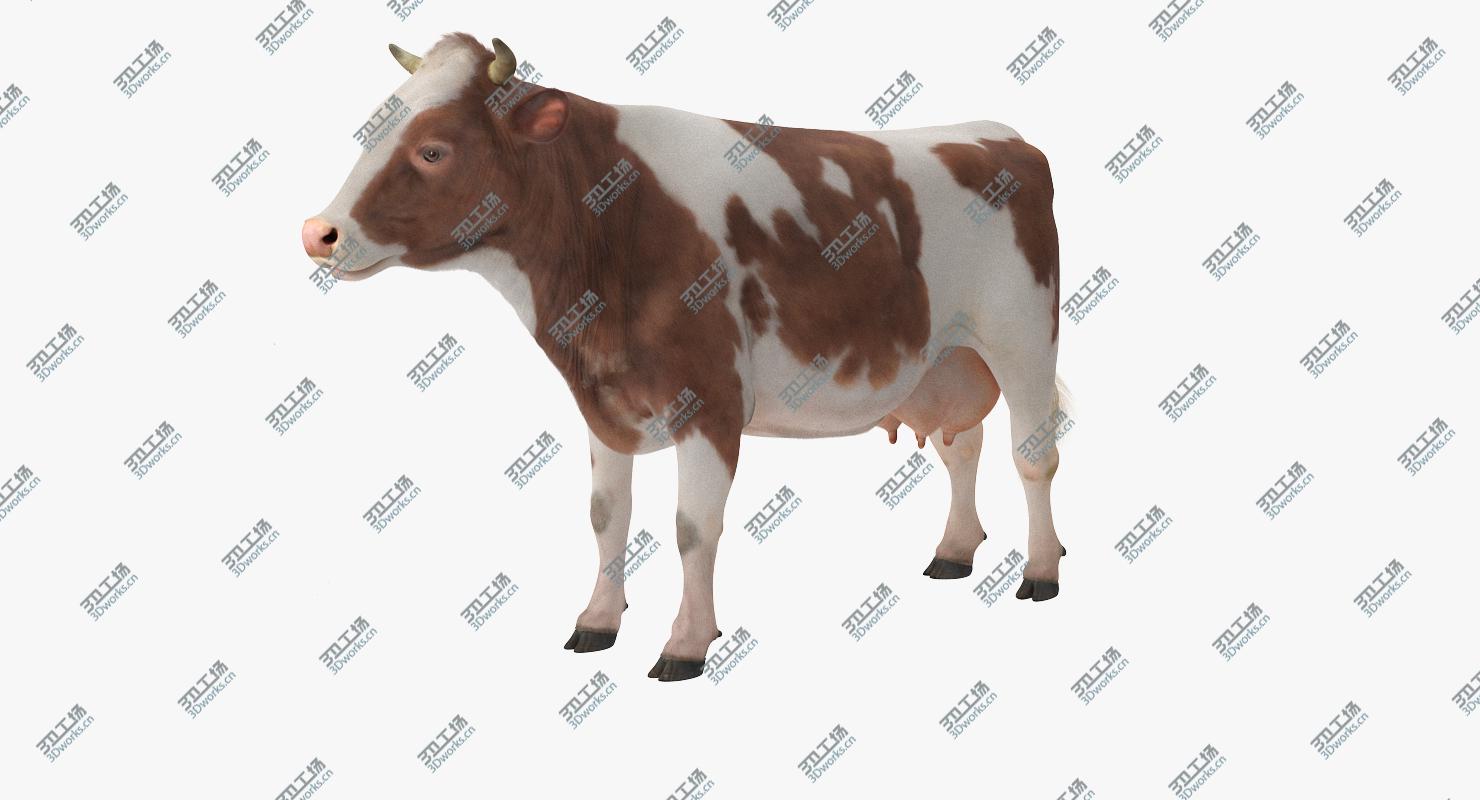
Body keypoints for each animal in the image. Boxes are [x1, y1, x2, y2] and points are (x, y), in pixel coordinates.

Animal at [302, 34, 1069, 681]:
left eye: (433, 150)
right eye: (371, 129)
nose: (318, 232)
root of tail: (1003, 136)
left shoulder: (711, 401)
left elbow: (692, 527)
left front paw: (687, 643)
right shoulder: (602, 401)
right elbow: (607, 516)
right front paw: (598, 620)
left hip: (1023, 338)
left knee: (1032, 456)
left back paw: (1041, 569)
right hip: (950, 357)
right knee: (961, 445)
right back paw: (955, 551)